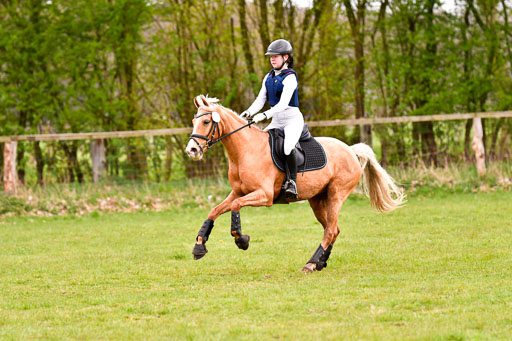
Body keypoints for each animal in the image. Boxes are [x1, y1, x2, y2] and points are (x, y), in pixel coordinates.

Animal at [186, 94, 406, 272]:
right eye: (194, 121)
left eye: (206, 121)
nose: (192, 150)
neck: (245, 151)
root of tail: (351, 150)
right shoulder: (238, 192)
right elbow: (214, 210)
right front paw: (199, 246)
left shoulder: (264, 195)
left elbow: (235, 206)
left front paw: (241, 239)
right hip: (317, 199)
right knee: (332, 229)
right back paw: (320, 262)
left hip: (336, 195)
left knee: (331, 230)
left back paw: (311, 263)